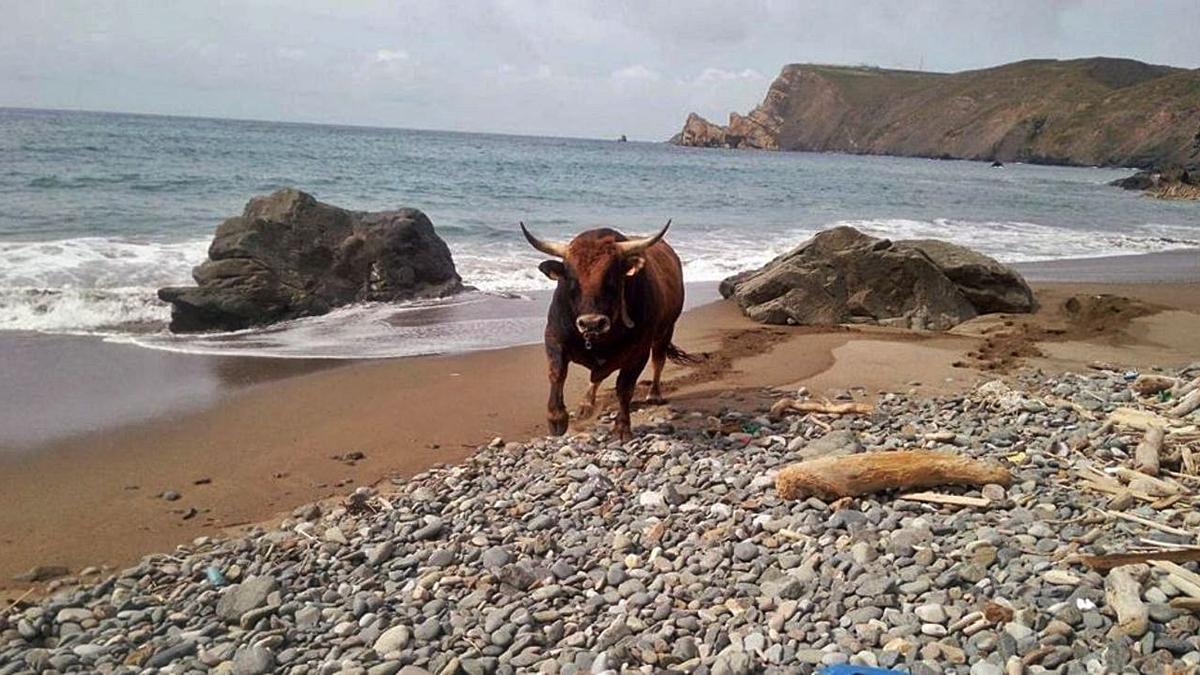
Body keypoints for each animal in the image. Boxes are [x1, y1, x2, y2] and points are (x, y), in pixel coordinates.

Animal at [518, 220, 696, 441]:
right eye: (571, 279)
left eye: (611, 278)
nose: (592, 323)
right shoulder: (554, 337)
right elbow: (557, 373)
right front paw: (556, 419)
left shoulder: (639, 352)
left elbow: (624, 387)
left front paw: (622, 427)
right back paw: (586, 404)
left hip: (665, 332)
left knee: (658, 361)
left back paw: (654, 394)